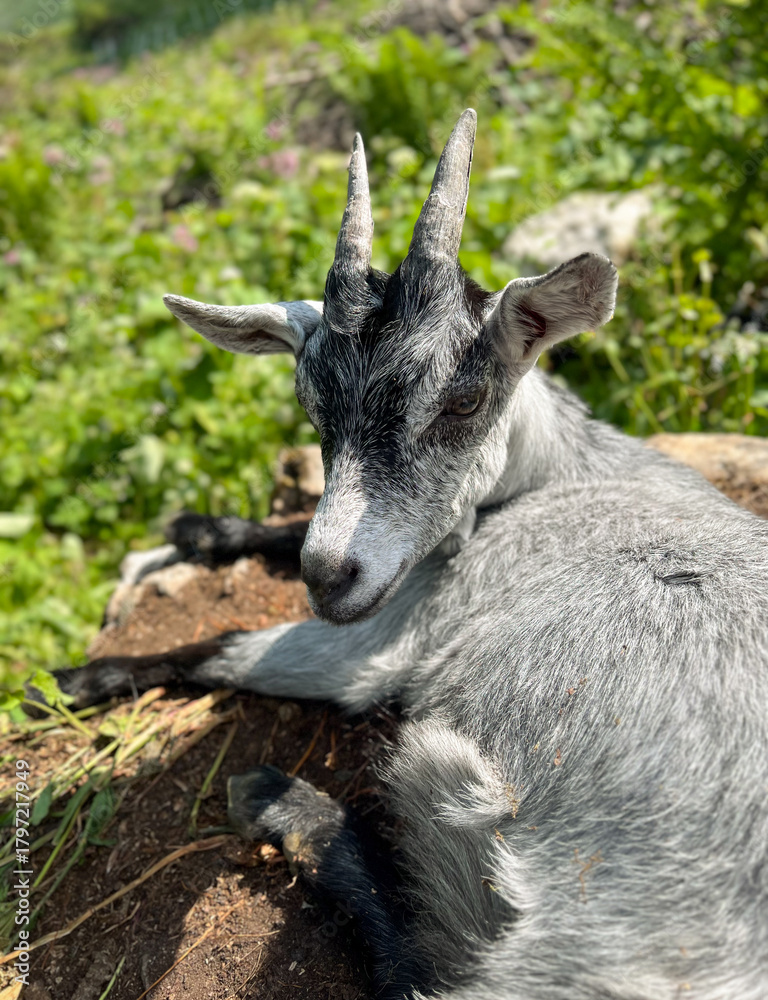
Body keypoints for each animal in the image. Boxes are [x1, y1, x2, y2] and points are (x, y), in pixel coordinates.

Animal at [60, 110, 768, 999]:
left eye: (464, 400)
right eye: (311, 406)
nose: (329, 575)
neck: (562, 473)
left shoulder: (386, 635)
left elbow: (220, 646)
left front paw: (82, 676)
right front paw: (200, 526)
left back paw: (280, 800)